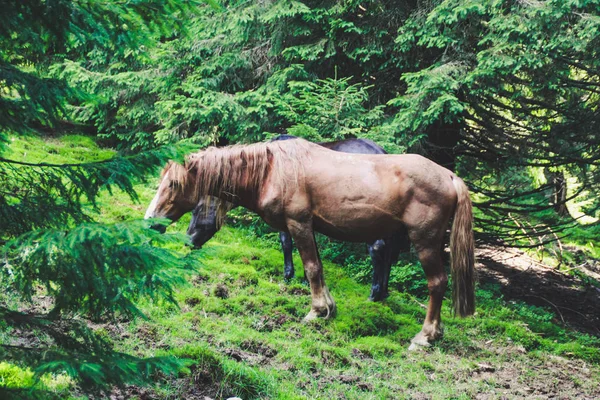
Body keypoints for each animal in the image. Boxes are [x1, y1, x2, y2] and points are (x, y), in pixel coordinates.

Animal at [185, 134, 406, 300]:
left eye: (196, 210)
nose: (188, 241)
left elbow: (286, 244)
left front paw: (288, 275)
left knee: (377, 249)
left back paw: (374, 294)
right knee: (389, 253)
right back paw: (383, 292)